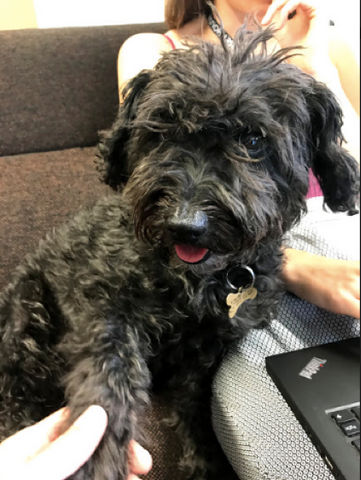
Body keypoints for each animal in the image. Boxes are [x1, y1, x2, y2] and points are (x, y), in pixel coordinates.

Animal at [0, 28, 358, 478]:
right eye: (161, 132)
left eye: (253, 140)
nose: (185, 225)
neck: (194, 281)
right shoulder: (104, 305)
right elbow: (108, 382)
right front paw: (98, 458)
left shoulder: (204, 351)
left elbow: (194, 405)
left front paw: (201, 461)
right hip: (27, 319)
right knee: (16, 394)